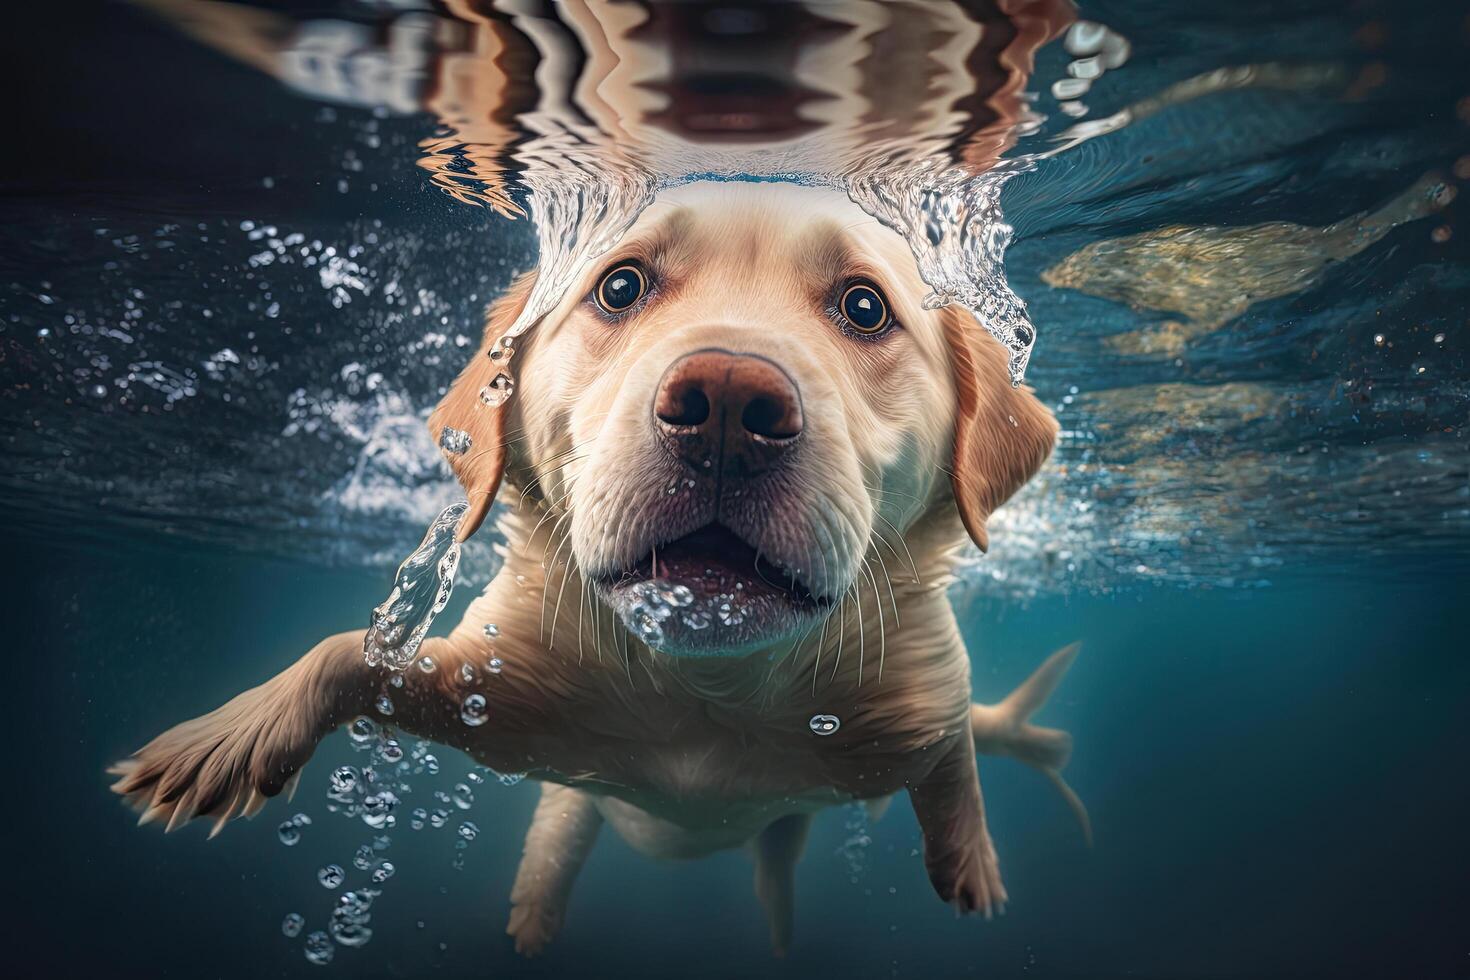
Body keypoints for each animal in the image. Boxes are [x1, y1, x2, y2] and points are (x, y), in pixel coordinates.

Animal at [108, 179, 1087, 952]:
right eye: (620, 285)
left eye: (865, 307)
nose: (727, 403)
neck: (709, 692)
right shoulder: (505, 703)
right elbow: (354, 653)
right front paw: (229, 736)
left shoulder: (910, 711)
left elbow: (953, 748)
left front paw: (968, 857)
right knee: (565, 828)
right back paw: (535, 912)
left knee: (806, 839)